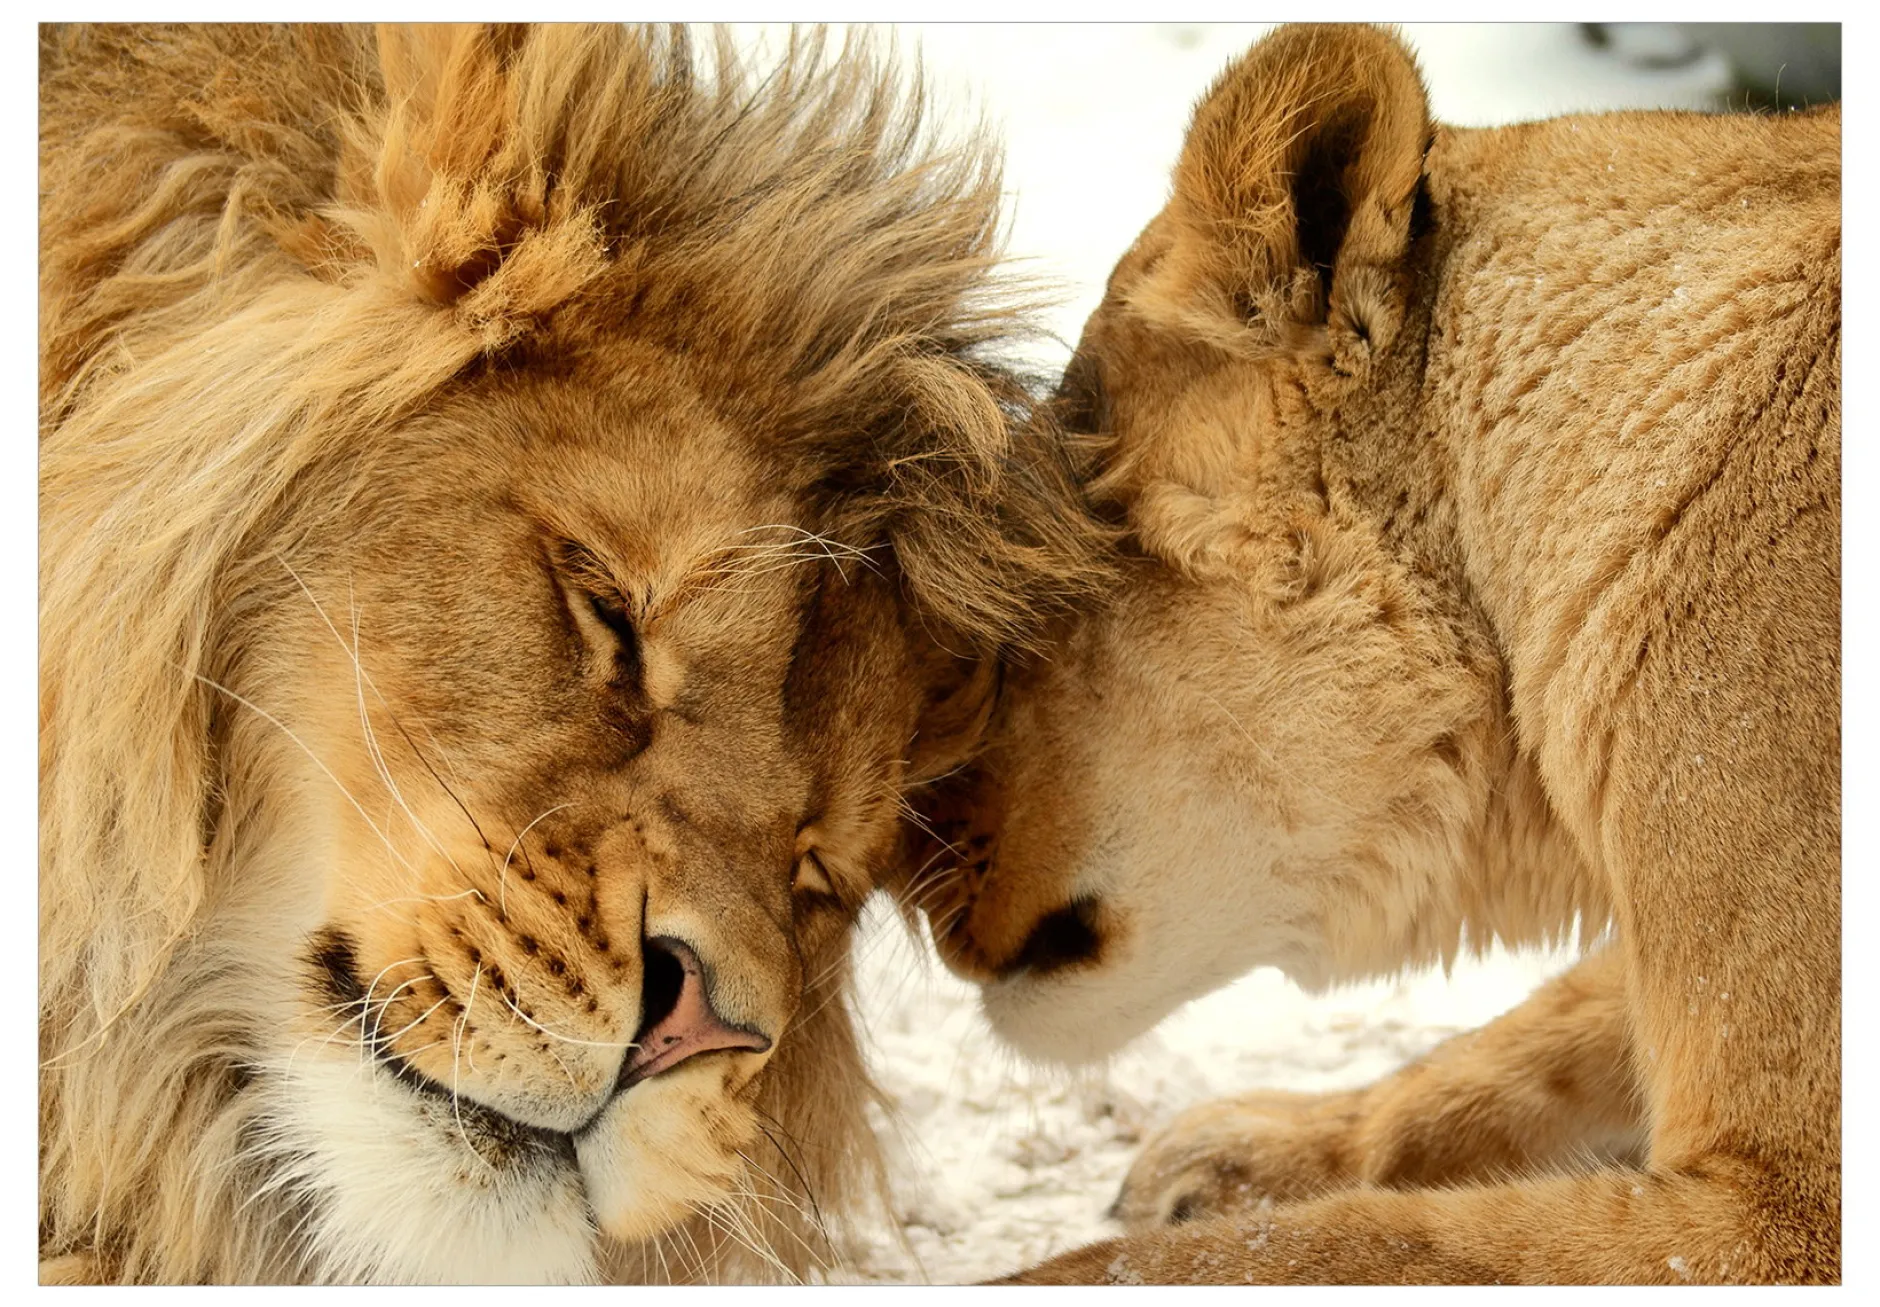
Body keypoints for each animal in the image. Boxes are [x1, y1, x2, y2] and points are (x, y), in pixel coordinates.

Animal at [910, 24, 1840, 1284]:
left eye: (1022, 605)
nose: (897, 871)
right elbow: (1517, 1042)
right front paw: (1242, 1150)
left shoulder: (1783, 1213)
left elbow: (1340, 1243)